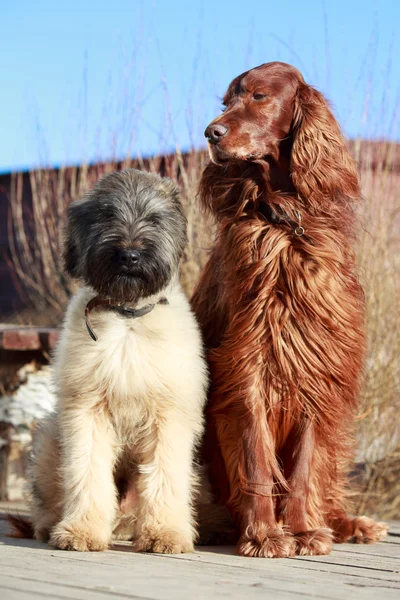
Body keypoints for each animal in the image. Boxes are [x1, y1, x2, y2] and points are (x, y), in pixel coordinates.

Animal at [11, 168, 206, 552]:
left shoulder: (169, 416)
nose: (129, 255)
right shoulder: (86, 411)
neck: (127, 317)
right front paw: (82, 531)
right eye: (106, 216)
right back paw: (53, 524)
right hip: (49, 437)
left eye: (154, 218)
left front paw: (165, 532)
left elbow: (164, 475)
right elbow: (86, 471)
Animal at [192, 61, 390, 556]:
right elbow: (256, 457)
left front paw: (301, 530)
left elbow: (303, 467)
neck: (285, 227)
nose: (211, 133)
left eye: (259, 97)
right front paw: (265, 533)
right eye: (226, 102)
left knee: (326, 483)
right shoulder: (248, 364)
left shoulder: (316, 365)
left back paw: (349, 523)